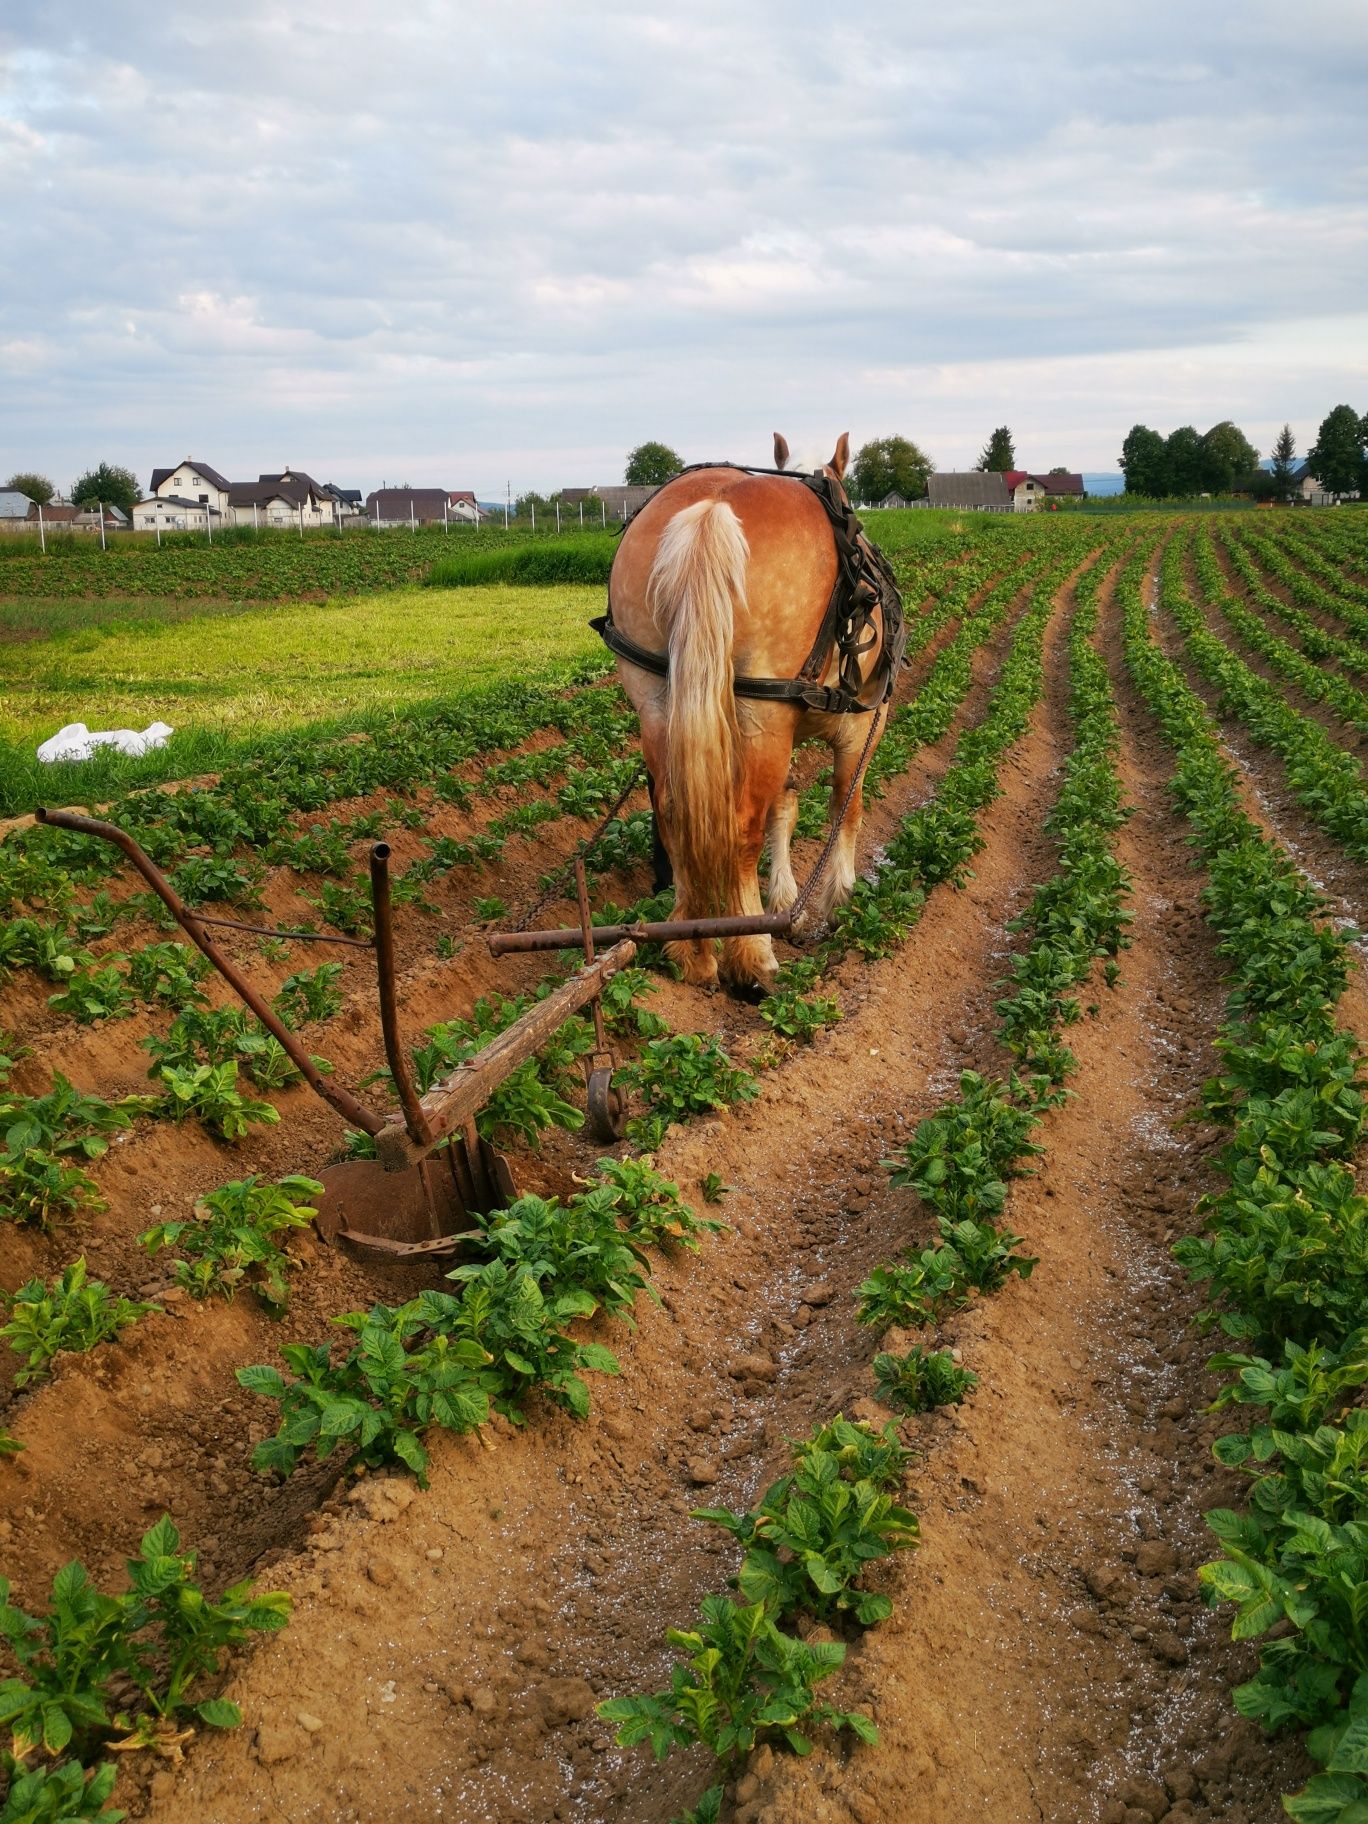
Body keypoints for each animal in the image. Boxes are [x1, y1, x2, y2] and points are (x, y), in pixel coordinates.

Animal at [598, 430, 901, 999]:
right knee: (742, 827)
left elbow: (786, 805)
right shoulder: (858, 729)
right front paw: (833, 902)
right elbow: (845, 808)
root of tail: (712, 510)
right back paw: (753, 958)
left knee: (674, 812)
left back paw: (693, 951)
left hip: (658, 701)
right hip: (763, 717)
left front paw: (783, 901)